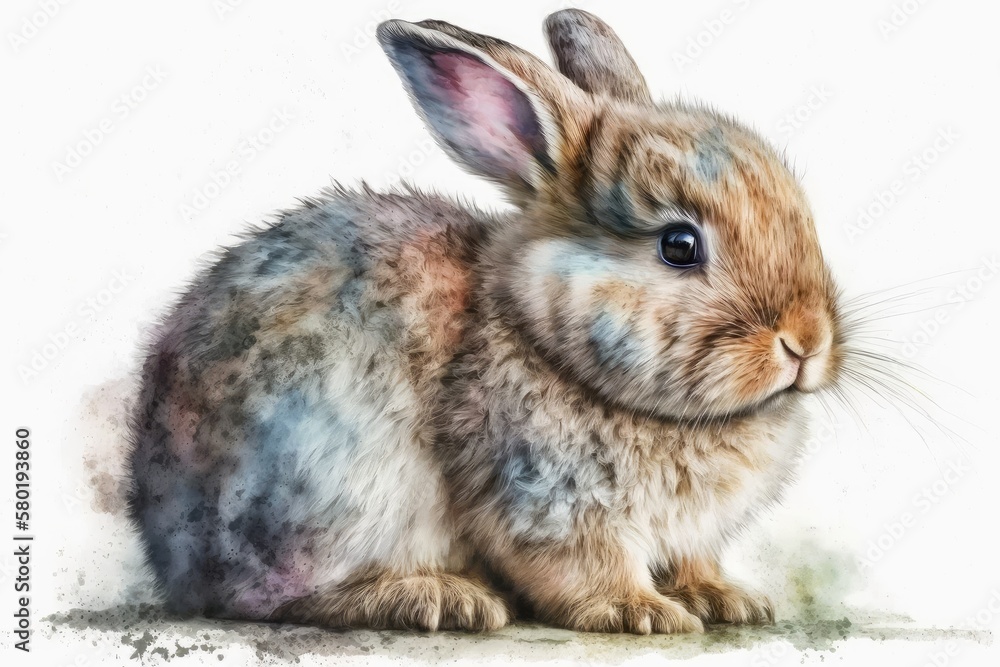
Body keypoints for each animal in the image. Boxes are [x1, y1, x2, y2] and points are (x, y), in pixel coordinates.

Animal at [127, 9, 842, 635]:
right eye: (679, 246)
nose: (806, 342)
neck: (543, 338)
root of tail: (171, 556)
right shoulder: (547, 500)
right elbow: (584, 568)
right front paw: (641, 613)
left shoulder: (685, 534)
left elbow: (694, 562)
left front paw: (728, 600)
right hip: (330, 490)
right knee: (277, 598)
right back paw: (436, 598)